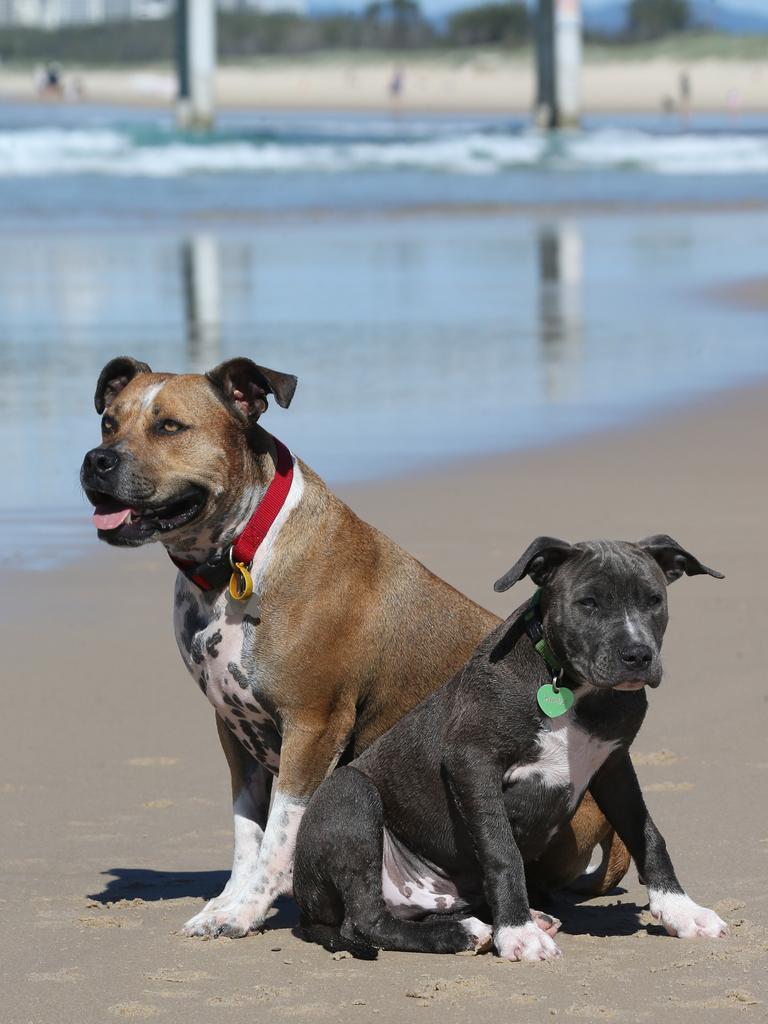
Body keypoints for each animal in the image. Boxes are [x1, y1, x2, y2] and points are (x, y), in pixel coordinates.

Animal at [81, 358, 626, 937]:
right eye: (109, 423)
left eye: (169, 427)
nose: (96, 460)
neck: (241, 555)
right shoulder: (234, 731)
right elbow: (247, 833)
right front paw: (227, 901)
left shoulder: (313, 726)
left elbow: (279, 834)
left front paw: (248, 908)